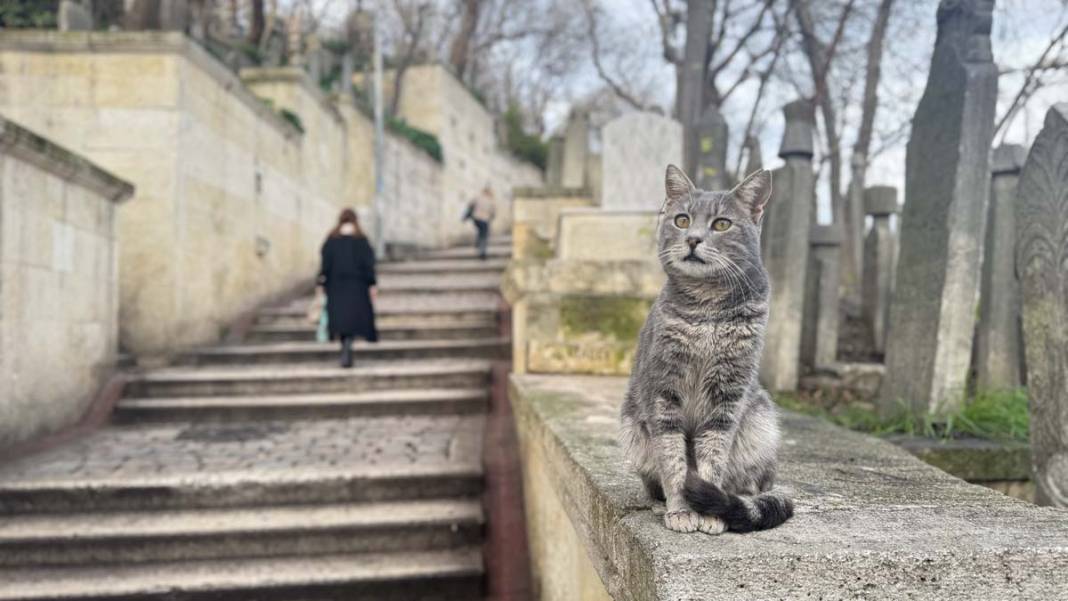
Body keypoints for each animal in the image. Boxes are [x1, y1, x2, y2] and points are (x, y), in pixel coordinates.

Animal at [623, 162, 790, 533]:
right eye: (682, 220)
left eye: (721, 224)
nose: (692, 239)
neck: (707, 310)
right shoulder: (664, 392)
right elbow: (673, 460)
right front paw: (682, 509)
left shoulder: (727, 396)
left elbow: (712, 457)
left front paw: (711, 513)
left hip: (760, 424)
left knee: (754, 486)